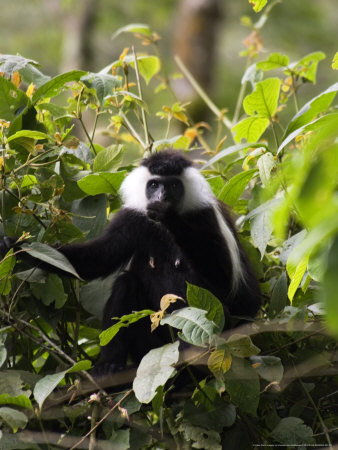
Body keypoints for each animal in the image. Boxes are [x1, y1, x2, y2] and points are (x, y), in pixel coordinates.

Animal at [0, 151, 262, 372]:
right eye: (154, 184)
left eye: (173, 185)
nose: (161, 197)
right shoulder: (131, 218)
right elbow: (95, 260)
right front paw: (14, 246)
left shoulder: (205, 216)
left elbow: (231, 287)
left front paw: (168, 214)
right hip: (148, 345)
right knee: (126, 284)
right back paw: (110, 365)